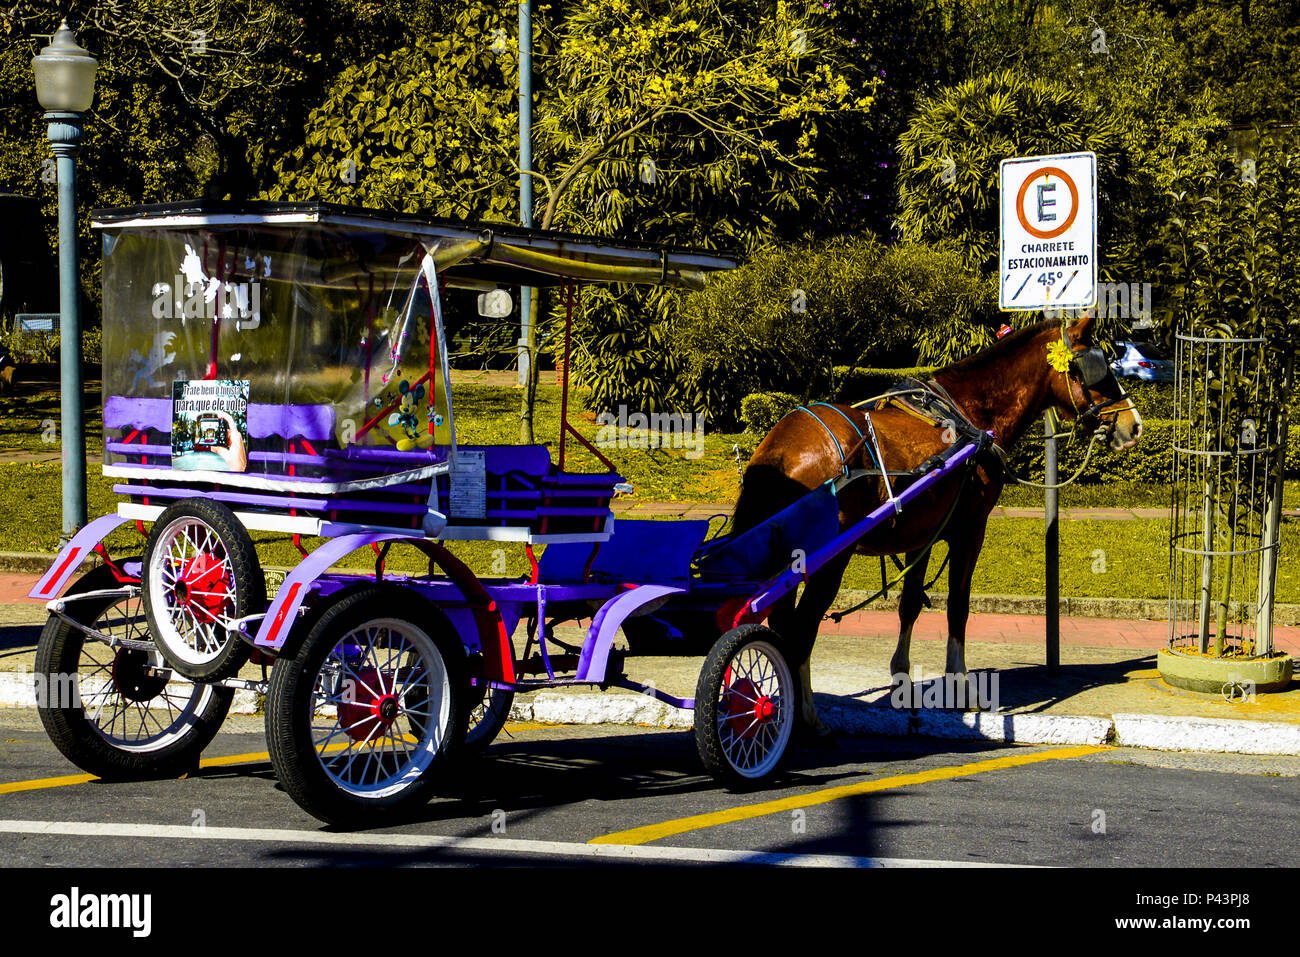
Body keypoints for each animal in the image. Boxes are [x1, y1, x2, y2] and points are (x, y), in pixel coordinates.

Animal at [738, 314, 1144, 733]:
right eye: (1096, 371)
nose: (1134, 425)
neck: (969, 415)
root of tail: (782, 448)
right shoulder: (970, 530)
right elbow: (958, 607)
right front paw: (961, 684)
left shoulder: (921, 535)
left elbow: (910, 604)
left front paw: (901, 677)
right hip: (829, 560)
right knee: (801, 629)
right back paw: (806, 716)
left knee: (783, 623)